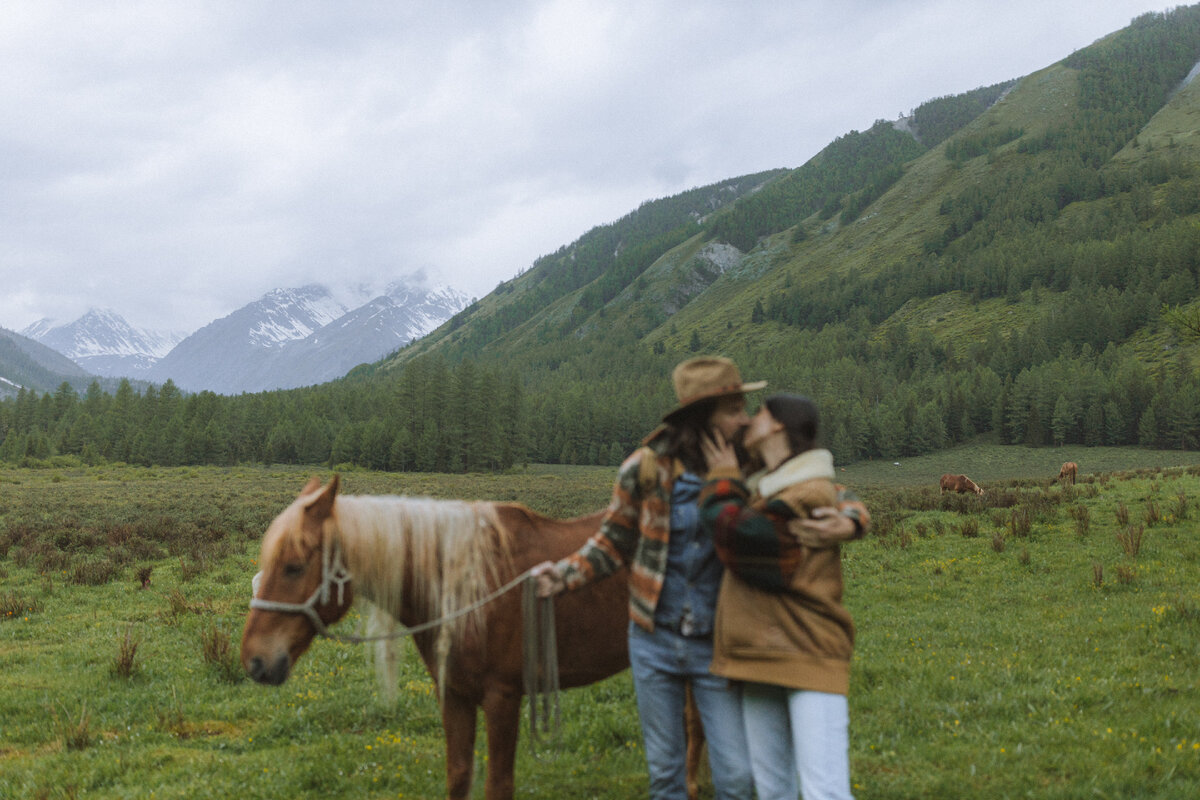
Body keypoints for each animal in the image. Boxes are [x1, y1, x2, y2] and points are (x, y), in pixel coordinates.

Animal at [241, 474, 700, 800]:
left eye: (294, 566)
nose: (255, 661)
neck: (470, 586)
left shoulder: (502, 698)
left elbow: (498, 785)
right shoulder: (454, 694)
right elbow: (459, 776)